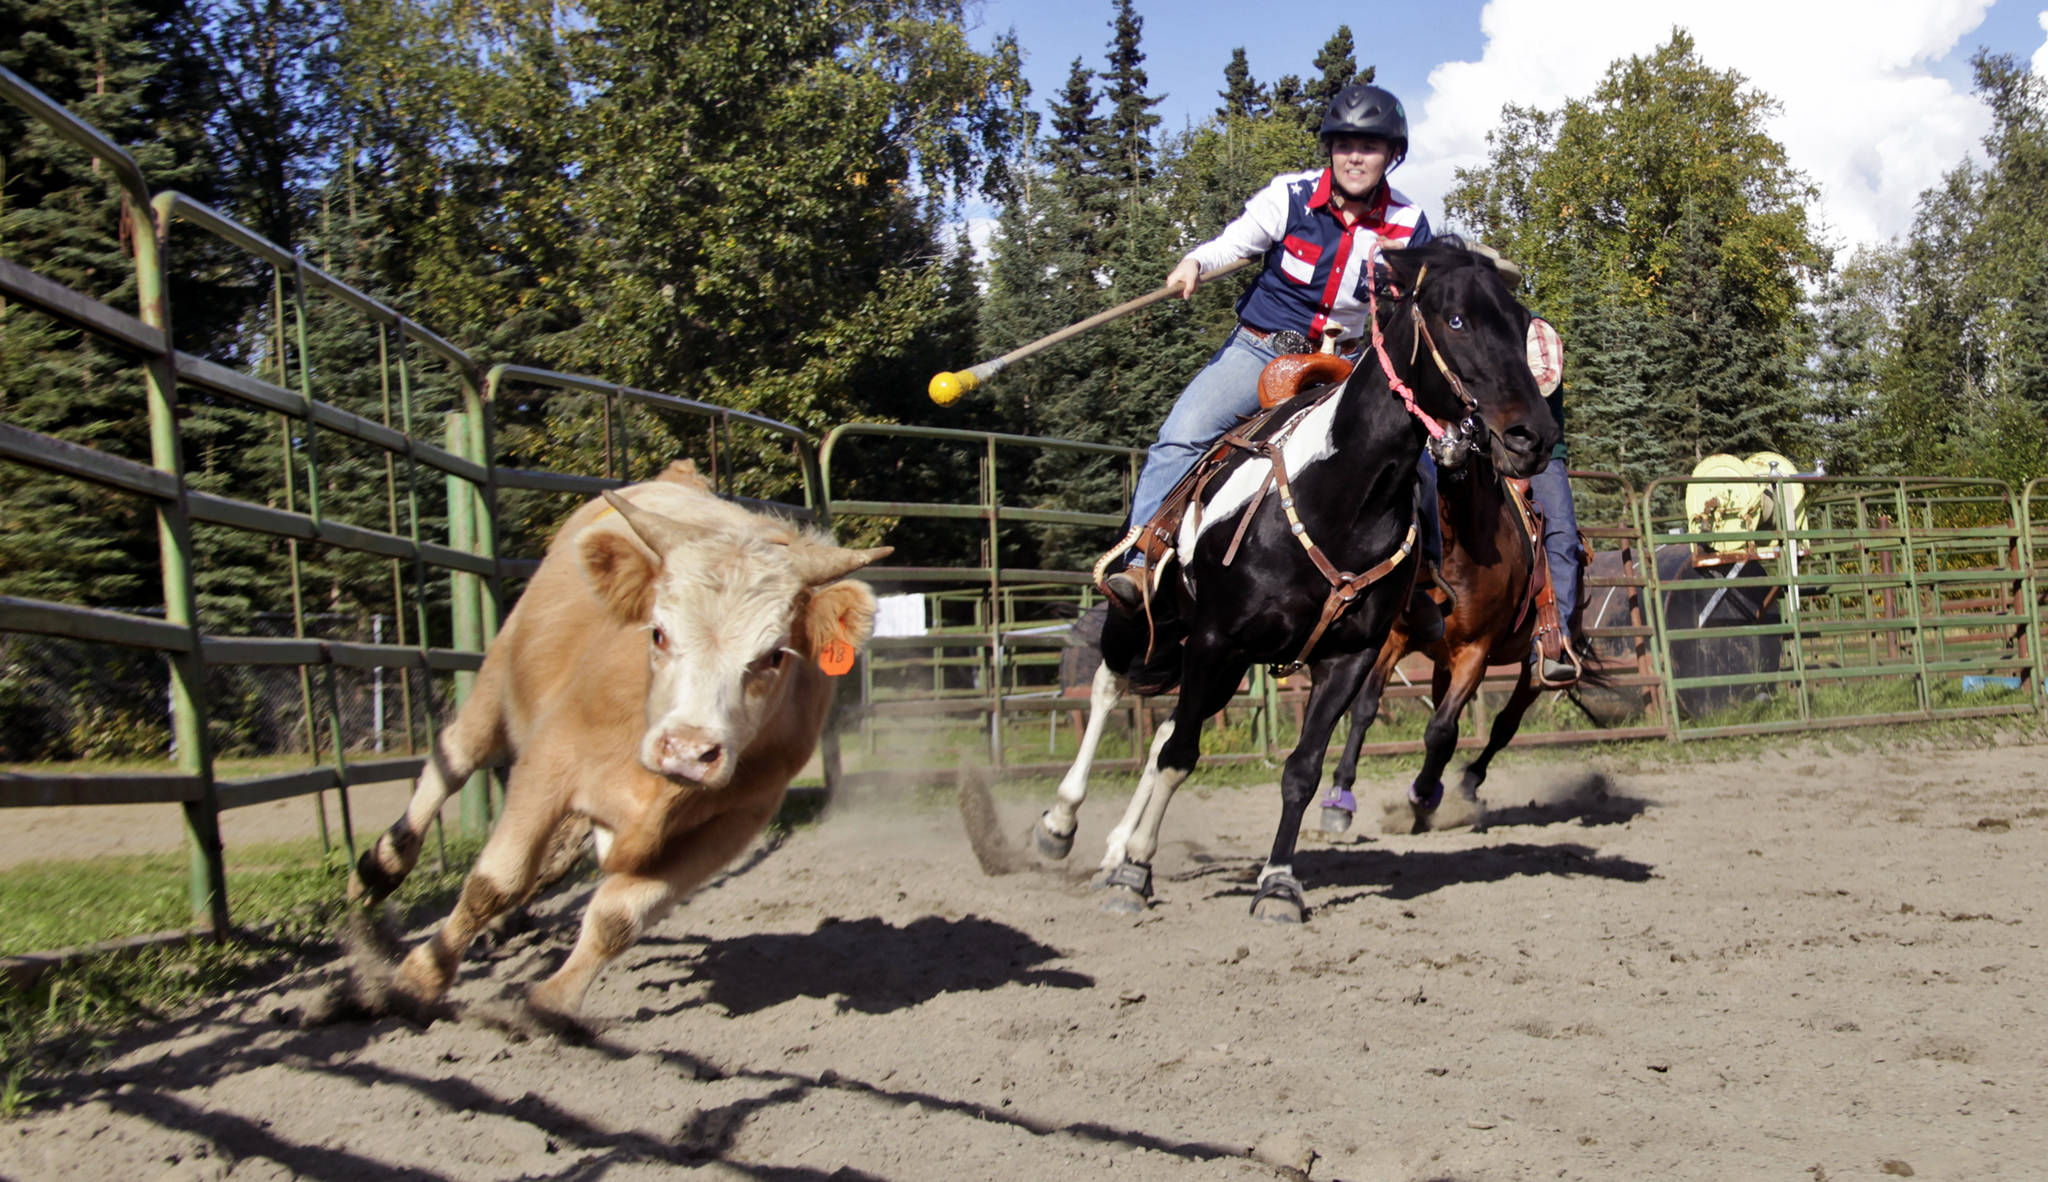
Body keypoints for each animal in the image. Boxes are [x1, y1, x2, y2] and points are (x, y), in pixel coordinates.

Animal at [1032, 239, 1556, 921]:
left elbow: (1299, 770)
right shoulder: (1214, 637)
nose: (1533, 436)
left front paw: (1277, 883)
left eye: (1521, 327)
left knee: (1168, 727)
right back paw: (1063, 825)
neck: (1340, 497)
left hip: (1227, 666)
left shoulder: (1347, 657)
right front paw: (1135, 875)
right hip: (1151, 621)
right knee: (1110, 689)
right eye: (1457, 320)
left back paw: (1121, 843)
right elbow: (1179, 756)